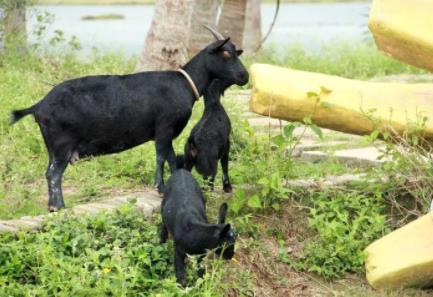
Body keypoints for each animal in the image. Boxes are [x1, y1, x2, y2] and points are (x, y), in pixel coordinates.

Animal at [9, 26, 246, 209]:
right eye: (226, 54)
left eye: (236, 53)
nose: (244, 76)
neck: (184, 84)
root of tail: (39, 106)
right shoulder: (164, 127)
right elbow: (161, 157)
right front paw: (160, 187)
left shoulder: (165, 133)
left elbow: (170, 157)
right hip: (62, 145)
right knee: (54, 174)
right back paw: (59, 207)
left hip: (52, 146)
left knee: (48, 172)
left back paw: (52, 205)